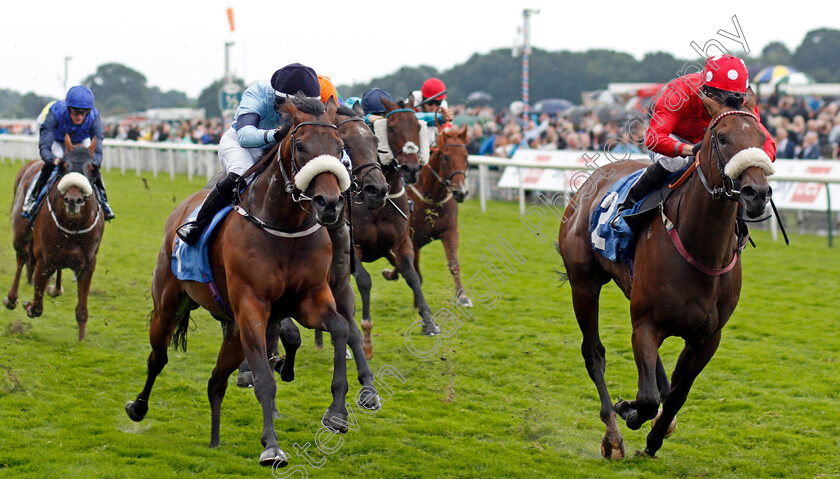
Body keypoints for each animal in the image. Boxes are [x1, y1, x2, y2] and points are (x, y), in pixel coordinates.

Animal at [4, 136, 105, 342]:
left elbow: (82, 310)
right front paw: (27, 304)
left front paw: (81, 341)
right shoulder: (45, 259)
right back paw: (11, 298)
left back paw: (55, 289)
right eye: (63, 166)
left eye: (93, 169)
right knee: (21, 258)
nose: (74, 200)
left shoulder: (88, 263)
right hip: (20, 235)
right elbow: (37, 306)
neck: (73, 226)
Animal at [127, 97, 354, 468]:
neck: (284, 226)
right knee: (157, 358)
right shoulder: (252, 307)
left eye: (339, 147)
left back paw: (215, 440)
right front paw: (272, 447)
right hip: (168, 306)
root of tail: (182, 209)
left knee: (215, 381)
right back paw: (138, 407)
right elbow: (264, 379)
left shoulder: (309, 300)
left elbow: (339, 328)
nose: (330, 203)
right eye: (301, 146)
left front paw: (336, 414)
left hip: (233, 331)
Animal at [348, 98, 442, 360]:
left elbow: (412, 277)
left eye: (417, 127)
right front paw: (366, 340)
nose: (411, 169)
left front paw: (429, 323)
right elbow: (364, 281)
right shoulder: (353, 247)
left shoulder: (399, 244)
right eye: (390, 128)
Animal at [384, 124, 476, 310]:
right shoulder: (413, 237)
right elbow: (414, 270)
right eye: (445, 157)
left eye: (466, 156)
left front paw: (462, 297)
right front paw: (417, 303)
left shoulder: (450, 231)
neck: (433, 196)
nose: (461, 192)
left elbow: (453, 263)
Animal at [556, 88, 776, 460]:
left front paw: (654, 439)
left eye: (762, 138)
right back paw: (612, 435)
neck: (701, 249)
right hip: (584, 284)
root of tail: (591, 182)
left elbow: (676, 394)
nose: (756, 193)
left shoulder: (707, 337)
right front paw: (628, 412)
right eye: (721, 137)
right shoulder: (645, 323)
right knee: (594, 354)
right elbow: (645, 399)